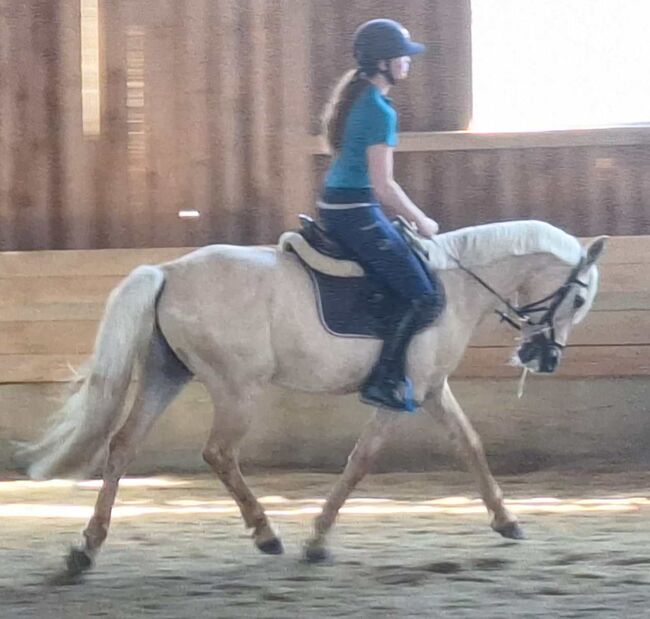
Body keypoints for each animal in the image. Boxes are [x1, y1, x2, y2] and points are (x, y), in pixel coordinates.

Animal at [16, 220, 604, 580]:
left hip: (167, 375)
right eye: (578, 298)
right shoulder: (404, 395)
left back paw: (87, 547)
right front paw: (317, 540)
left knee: (121, 446)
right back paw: (266, 534)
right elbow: (361, 460)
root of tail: (168, 271)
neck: (454, 286)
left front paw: (507, 521)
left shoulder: (433, 390)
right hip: (237, 387)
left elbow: (471, 445)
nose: (543, 358)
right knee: (218, 453)